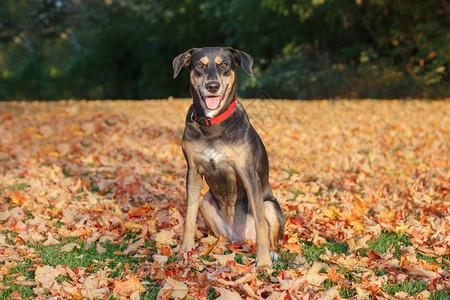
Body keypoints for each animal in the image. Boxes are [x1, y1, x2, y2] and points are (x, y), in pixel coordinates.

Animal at [172, 45, 284, 266]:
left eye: (224, 64)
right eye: (199, 65)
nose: (212, 86)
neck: (212, 124)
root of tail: (240, 239)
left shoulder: (249, 175)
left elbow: (261, 225)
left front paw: (263, 262)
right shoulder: (193, 173)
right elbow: (189, 217)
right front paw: (185, 251)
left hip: (270, 206)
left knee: (270, 234)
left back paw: (272, 253)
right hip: (206, 203)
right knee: (219, 234)